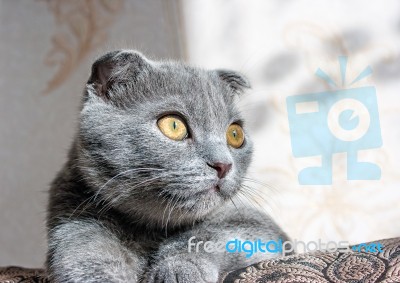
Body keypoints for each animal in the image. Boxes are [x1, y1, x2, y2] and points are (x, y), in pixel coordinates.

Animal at [46, 51, 288, 283]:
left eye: (235, 134)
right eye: (173, 125)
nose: (223, 164)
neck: (150, 230)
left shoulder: (254, 222)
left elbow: (209, 233)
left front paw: (178, 269)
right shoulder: (72, 213)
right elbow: (83, 248)